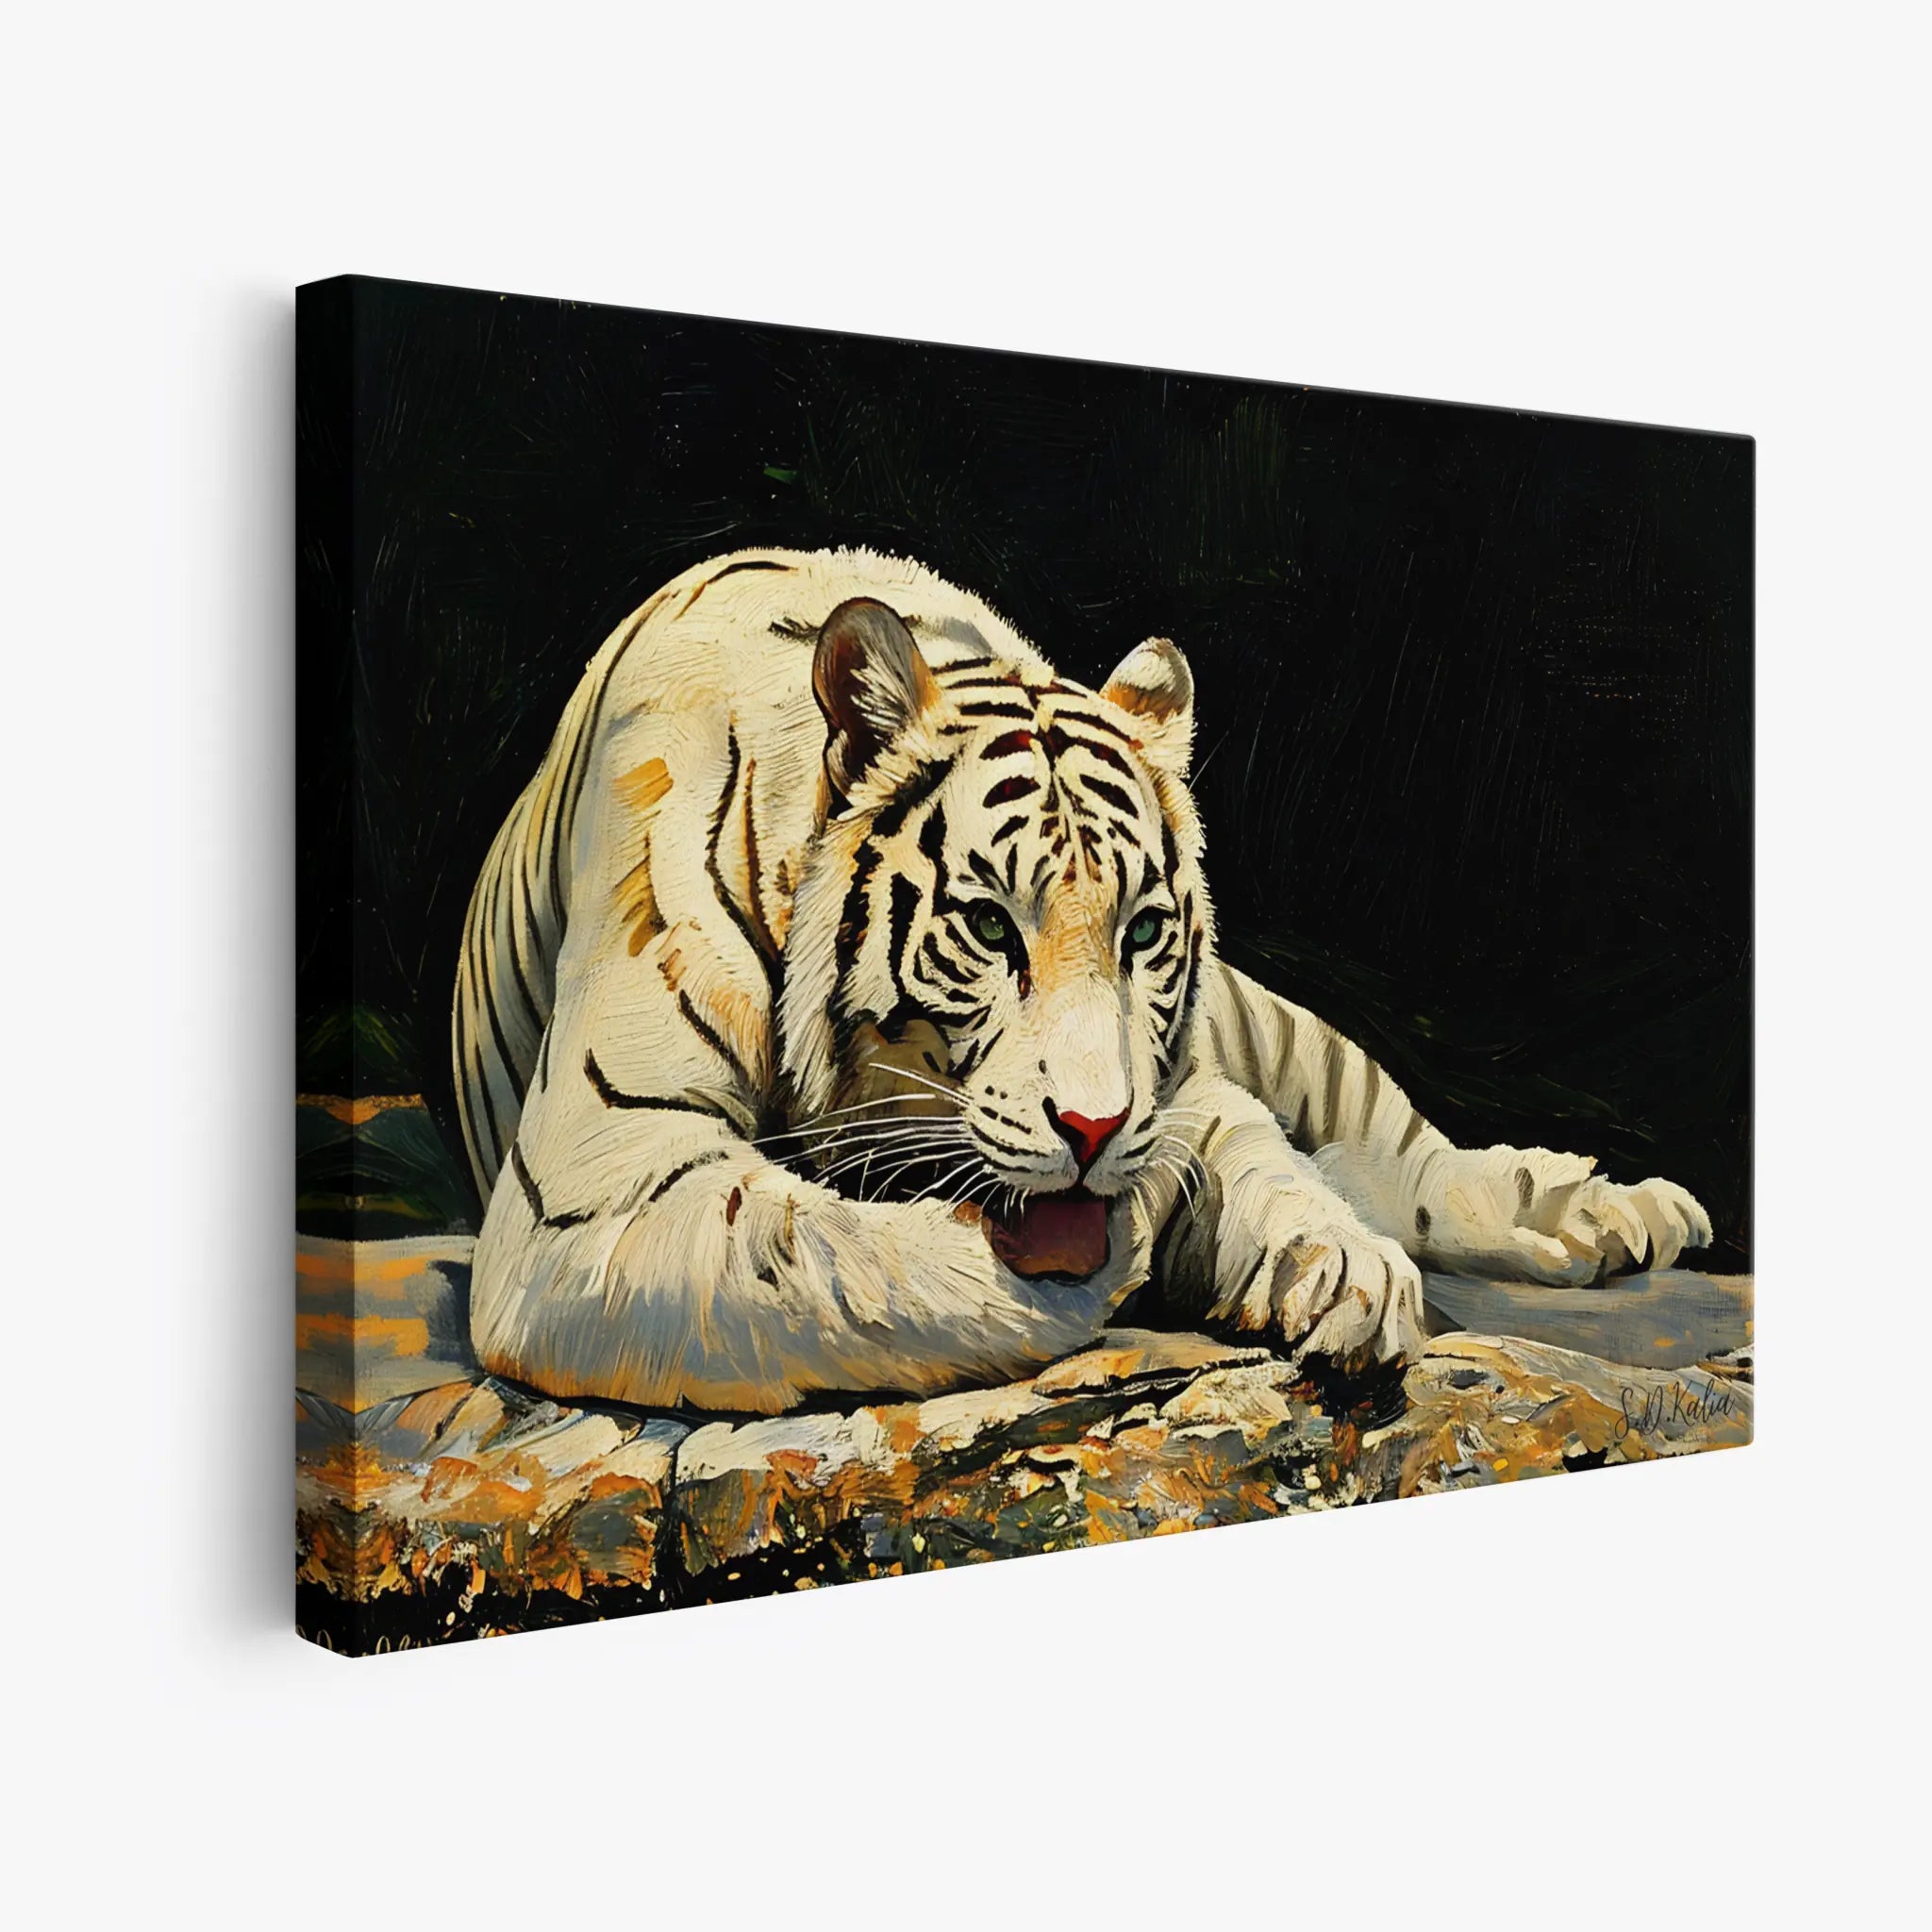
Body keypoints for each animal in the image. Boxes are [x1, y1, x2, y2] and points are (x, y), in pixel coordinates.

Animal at [454, 547, 1712, 1414]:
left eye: (1143, 930)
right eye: (984, 924)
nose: (1097, 1130)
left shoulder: (1191, 1074)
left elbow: (1257, 1146)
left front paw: (1337, 1266)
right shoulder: (606, 1181)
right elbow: (831, 1258)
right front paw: (1120, 1246)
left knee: (1403, 1155)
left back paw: (1622, 1210)